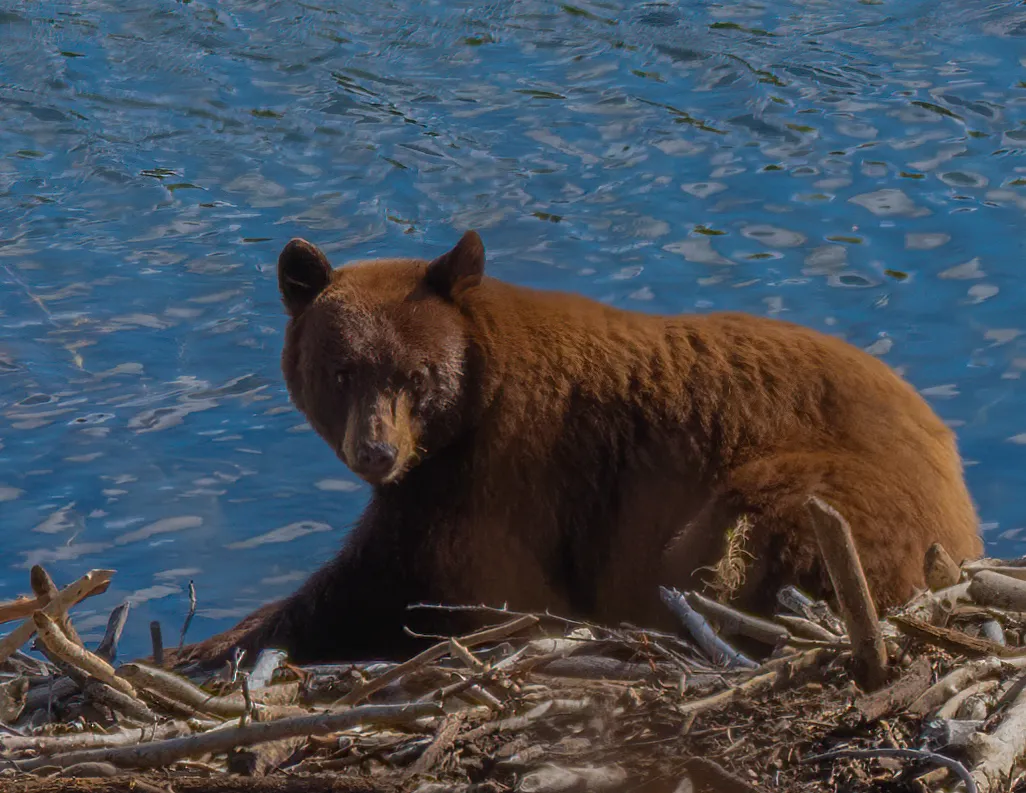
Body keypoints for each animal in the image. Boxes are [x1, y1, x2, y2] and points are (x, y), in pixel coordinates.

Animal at [177, 229, 983, 667]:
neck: (474, 403)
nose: (376, 451)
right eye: (342, 370)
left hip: (821, 490)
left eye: (416, 374)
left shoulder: (505, 481)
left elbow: (394, 587)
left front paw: (213, 646)